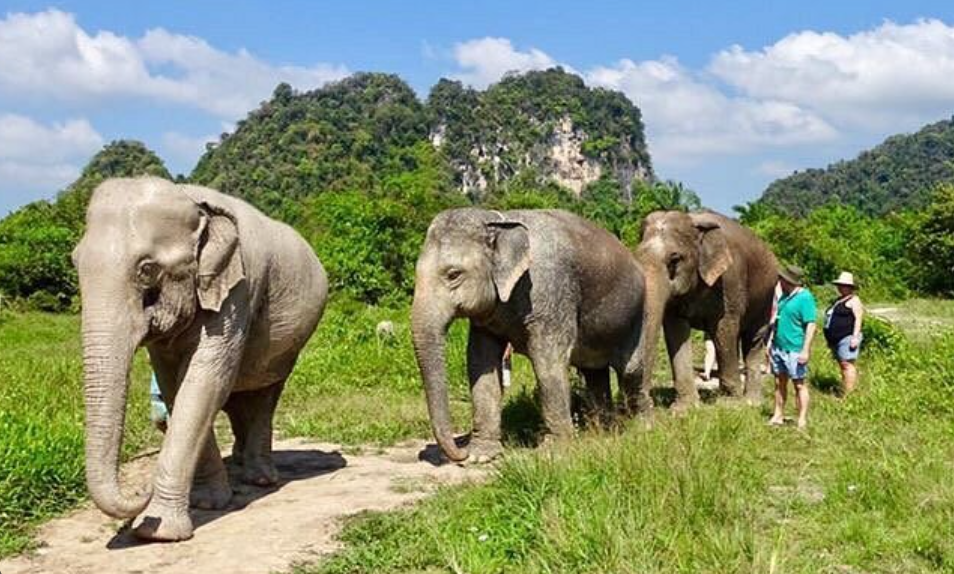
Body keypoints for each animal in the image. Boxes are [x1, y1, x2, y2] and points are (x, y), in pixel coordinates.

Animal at [72, 176, 328, 541]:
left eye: (147, 270)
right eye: (74, 263)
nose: (140, 491)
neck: (190, 200)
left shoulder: (238, 290)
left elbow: (202, 382)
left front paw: (157, 530)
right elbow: (174, 386)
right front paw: (206, 503)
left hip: (289, 347)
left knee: (266, 394)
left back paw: (260, 478)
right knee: (239, 398)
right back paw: (238, 464)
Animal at [411, 208, 648, 463]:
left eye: (453, 274)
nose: (460, 451)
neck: (500, 222)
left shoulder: (551, 291)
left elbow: (547, 360)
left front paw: (553, 453)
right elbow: (480, 362)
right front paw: (479, 455)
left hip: (638, 314)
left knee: (631, 369)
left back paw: (642, 428)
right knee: (594, 372)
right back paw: (601, 431)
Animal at [635, 209, 778, 411]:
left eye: (675, 260)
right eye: (637, 256)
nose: (649, 404)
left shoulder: (730, 280)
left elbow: (724, 328)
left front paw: (730, 404)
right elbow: (676, 330)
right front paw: (684, 409)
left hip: (766, 295)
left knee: (753, 339)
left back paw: (751, 402)